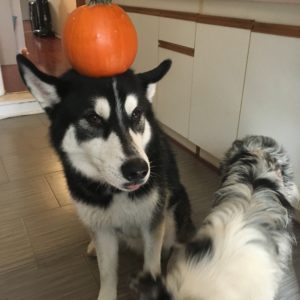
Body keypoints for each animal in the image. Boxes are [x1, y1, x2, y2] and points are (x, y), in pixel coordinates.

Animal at [16, 54, 195, 300]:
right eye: (93, 118)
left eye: (136, 114)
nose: (138, 170)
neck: (116, 193)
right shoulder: (103, 232)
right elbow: (107, 272)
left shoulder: (152, 223)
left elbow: (152, 266)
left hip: (177, 208)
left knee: (177, 242)